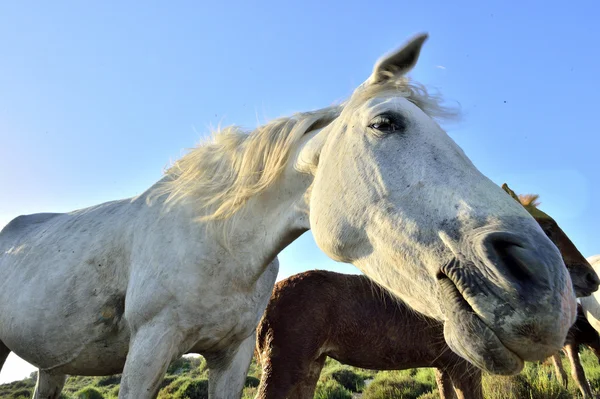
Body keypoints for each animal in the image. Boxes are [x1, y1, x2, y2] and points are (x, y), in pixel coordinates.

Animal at [255, 185, 596, 399]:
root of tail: (270, 300)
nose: (591, 278)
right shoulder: (464, 369)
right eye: (548, 228)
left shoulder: (443, 368)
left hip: (310, 365)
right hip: (284, 364)